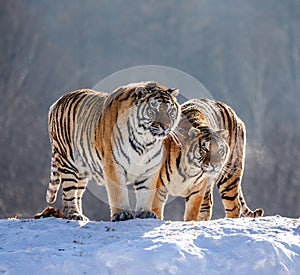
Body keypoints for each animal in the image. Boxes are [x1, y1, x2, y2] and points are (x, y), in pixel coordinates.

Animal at [46, 81, 180, 222]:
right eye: (153, 110)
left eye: (170, 111)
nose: (165, 126)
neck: (145, 142)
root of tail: (57, 102)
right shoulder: (113, 164)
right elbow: (118, 192)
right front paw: (122, 214)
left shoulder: (150, 169)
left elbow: (145, 193)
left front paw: (146, 213)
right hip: (68, 163)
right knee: (68, 193)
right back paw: (74, 214)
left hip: (82, 170)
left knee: (77, 193)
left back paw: (81, 216)